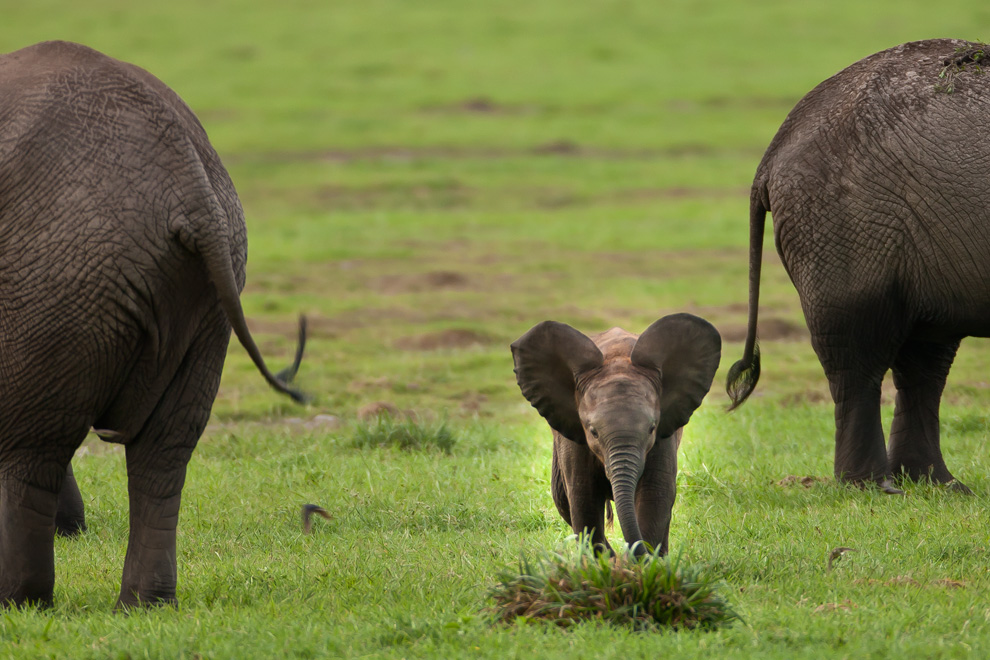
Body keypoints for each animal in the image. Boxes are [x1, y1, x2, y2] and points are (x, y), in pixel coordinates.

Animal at [0, 41, 306, 608]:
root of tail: (188, 181)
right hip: (208, 292)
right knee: (166, 448)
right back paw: (144, 605)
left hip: (57, 272)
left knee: (31, 451)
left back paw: (20, 602)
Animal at [512, 314, 720, 556]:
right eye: (593, 431)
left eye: (652, 428)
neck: (617, 357)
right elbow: (584, 500)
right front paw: (608, 563)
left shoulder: (664, 436)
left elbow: (655, 495)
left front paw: (644, 563)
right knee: (563, 500)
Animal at [728, 38, 990, 492]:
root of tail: (775, 147)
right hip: (843, 221)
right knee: (857, 350)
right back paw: (875, 487)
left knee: (925, 356)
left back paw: (937, 485)